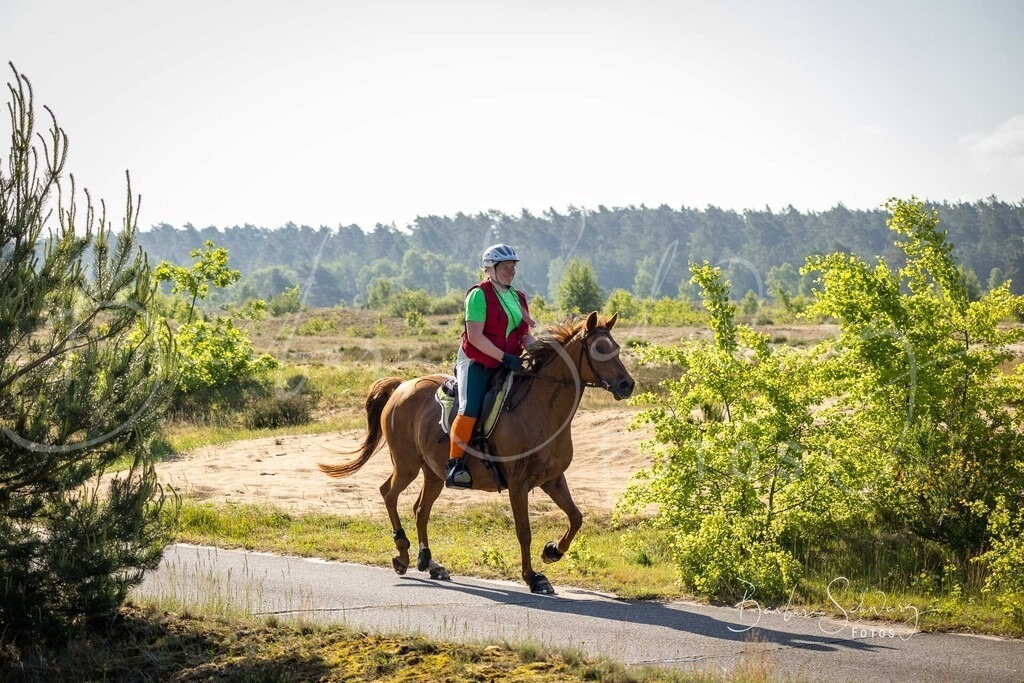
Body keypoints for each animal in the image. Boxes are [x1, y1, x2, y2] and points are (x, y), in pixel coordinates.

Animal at [318, 311, 635, 594]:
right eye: (599, 350)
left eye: (616, 348)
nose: (627, 385)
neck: (541, 409)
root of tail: (401, 387)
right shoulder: (518, 484)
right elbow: (524, 531)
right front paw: (533, 578)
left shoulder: (552, 479)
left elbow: (576, 517)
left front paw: (552, 551)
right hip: (407, 465)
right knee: (388, 493)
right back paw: (402, 554)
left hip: (434, 472)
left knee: (420, 509)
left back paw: (429, 562)